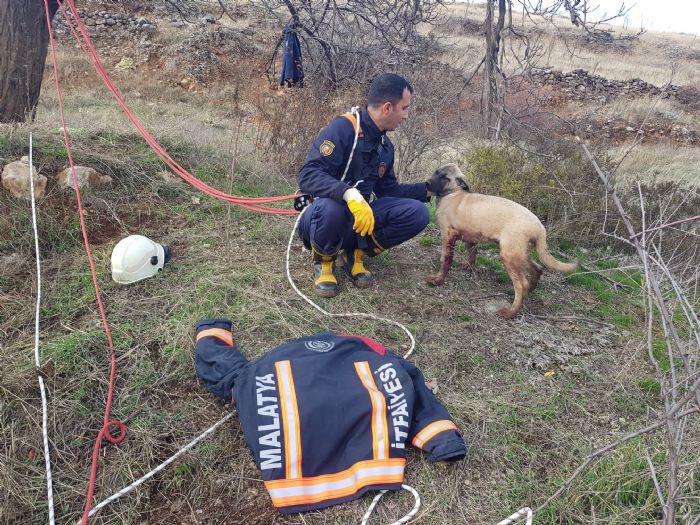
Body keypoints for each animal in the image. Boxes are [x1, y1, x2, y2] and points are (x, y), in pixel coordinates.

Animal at [426, 164, 580, 318]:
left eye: (445, 177)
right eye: (436, 172)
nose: (427, 183)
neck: (452, 194)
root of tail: (539, 227)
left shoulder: (448, 236)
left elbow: (445, 261)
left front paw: (438, 280)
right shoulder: (471, 239)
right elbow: (471, 256)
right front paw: (467, 267)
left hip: (509, 256)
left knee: (521, 285)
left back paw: (510, 312)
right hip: (519, 253)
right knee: (537, 268)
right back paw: (531, 290)